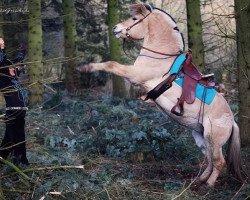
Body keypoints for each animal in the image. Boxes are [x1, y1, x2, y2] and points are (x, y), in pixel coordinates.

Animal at [77, 2, 243, 188]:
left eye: (134, 18)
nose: (115, 28)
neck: (161, 57)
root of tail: (232, 121)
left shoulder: (135, 75)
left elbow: (111, 64)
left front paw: (85, 68)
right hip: (201, 138)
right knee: (209, 161)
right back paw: (198, 181)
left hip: (213, 140)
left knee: (219, 162)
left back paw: (208, 185)